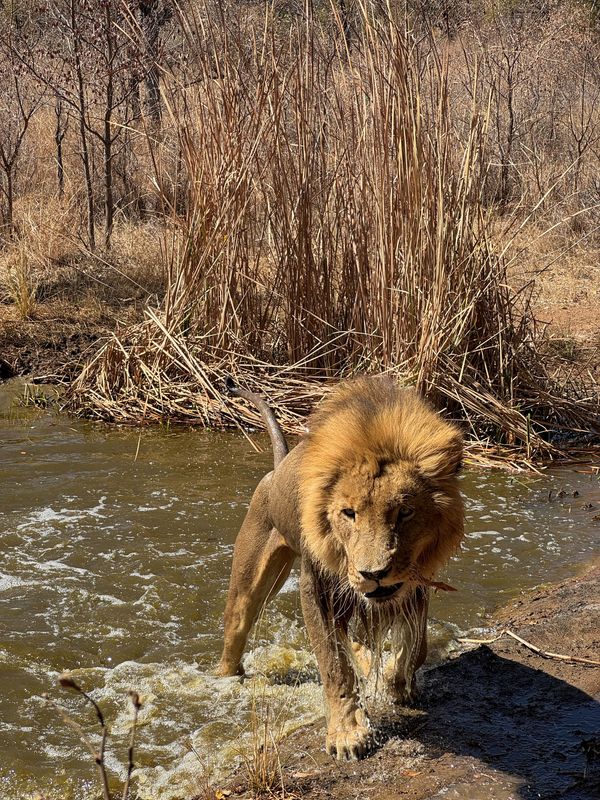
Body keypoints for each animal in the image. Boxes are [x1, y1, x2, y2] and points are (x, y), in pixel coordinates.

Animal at [216, 376, 464, 764]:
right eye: (349, 513)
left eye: (404, 512)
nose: (373, 573)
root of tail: (278, 468)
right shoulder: (316, 589)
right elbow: (334, 666)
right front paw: (347, 733)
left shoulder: (414, 581)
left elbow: (416, 646)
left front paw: (397, 682)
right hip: (249, 581)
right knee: (236, 630)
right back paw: (225, 679)